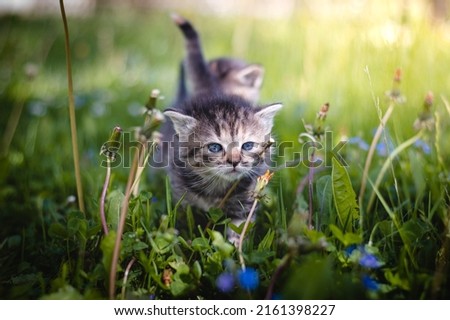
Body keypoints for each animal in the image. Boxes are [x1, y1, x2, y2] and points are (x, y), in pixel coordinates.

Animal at [162, 94, 282, 239]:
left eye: (247, 146)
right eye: (215, 147)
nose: (234, 161)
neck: (217, 185)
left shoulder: (245, 201)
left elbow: (239, 230)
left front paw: (236, 244)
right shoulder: (182, 198)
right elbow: (185, 225)